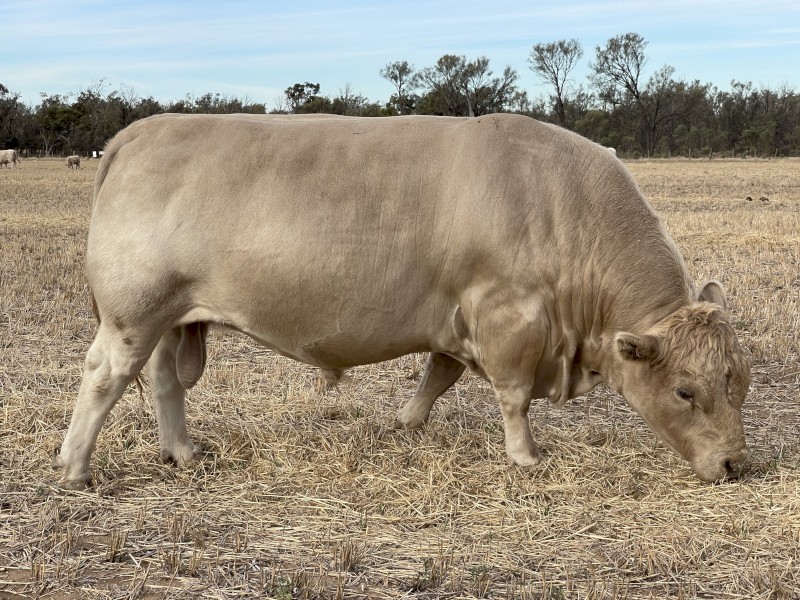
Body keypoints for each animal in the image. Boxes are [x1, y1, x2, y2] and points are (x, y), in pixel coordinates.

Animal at [53, 113, 751, 490]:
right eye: (685, 391)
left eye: (739, 381)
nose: (735, 463)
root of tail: (146, 129)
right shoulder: (509, 316)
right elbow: (514, 396)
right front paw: (525, 455)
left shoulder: (455, 317)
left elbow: (438, 374)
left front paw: (405, 421)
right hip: (132, 314)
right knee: (104, 377)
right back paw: (75, 467)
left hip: (174, 319)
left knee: (165, 381)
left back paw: (183, 451)